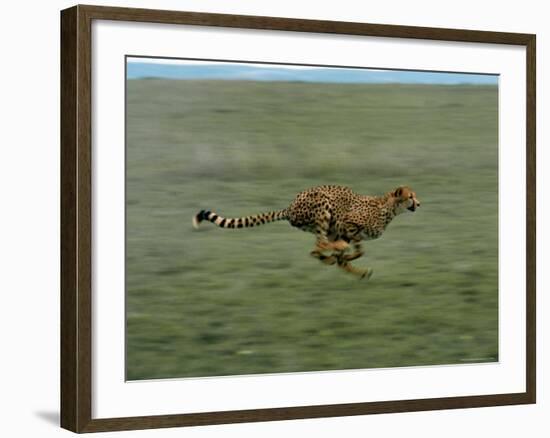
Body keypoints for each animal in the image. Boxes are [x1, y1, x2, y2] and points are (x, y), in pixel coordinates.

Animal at [194, 184, 422, 278]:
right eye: (410, 196)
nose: (419, 204)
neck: (389, 208)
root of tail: (290, 206)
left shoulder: (351, 232)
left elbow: (358, 251)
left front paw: (350, 262)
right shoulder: (346, 223)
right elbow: (352, 249)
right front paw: (344, 256)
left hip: (326, 225)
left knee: (315, 249)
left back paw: (335, 260)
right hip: (323, 206)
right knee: (320, 244)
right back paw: (334, 254)